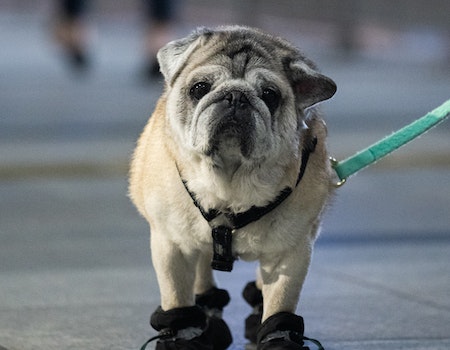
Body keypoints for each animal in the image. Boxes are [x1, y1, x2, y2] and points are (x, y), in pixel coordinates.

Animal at [128, 26, 336, 348]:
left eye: (270, 95)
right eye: (199, 88)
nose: (236, 95)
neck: (230, 182)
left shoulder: (289, 254)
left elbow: (280, 302)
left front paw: (278, 338)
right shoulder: (172, 246)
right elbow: (177, 297)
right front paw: (182, 337)